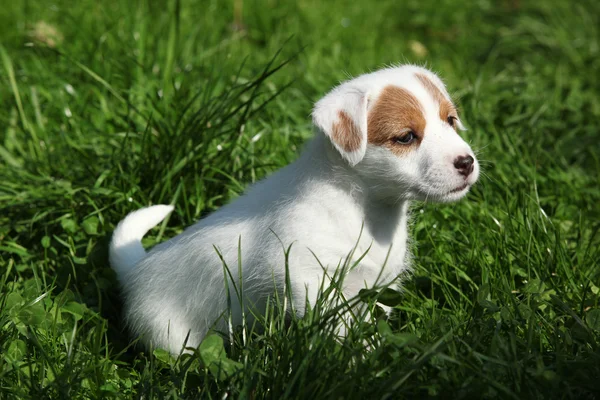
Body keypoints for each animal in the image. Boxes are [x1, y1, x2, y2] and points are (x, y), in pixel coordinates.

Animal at [110, 65, 480, 354]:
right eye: (405, 137)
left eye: (450, 120)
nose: (467, 162)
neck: (364, 207)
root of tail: (136, 268)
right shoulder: (308, 277)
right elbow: (338, 326)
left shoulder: (373, 285)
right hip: (168, 331)